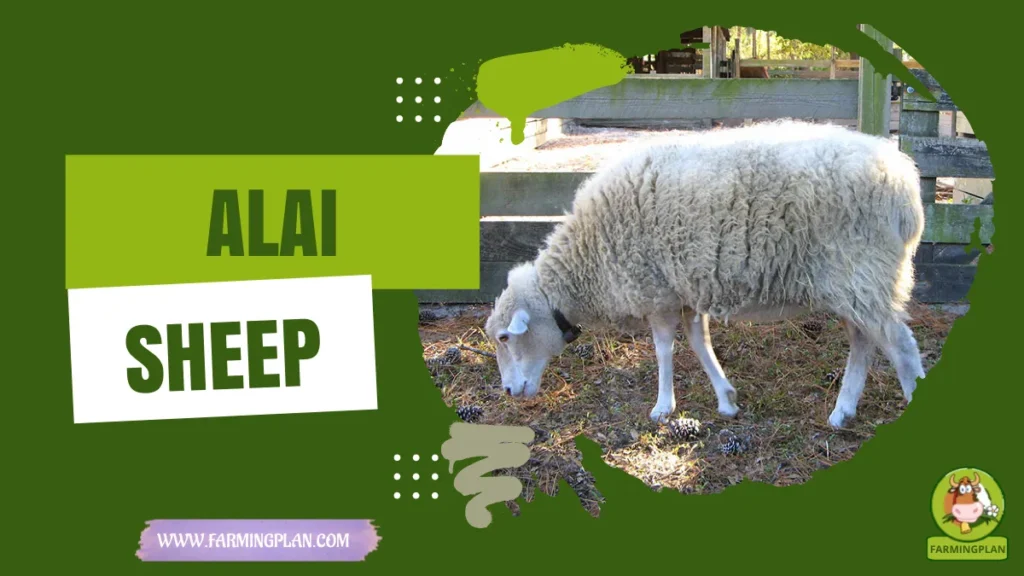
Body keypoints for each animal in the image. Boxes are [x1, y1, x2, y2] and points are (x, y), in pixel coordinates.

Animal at [483, 119, 927, 430]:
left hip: (863, 272)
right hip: (857, 282)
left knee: (901, 346)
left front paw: (663, 407)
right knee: (864, 342)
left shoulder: (657, 291)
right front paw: (726, 399)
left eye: (505, 338)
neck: (588, 258)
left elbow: (663, 350)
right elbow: (700, 344)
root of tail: (905, 182)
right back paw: (842, 411)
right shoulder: (687, 290)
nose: (508, 391)